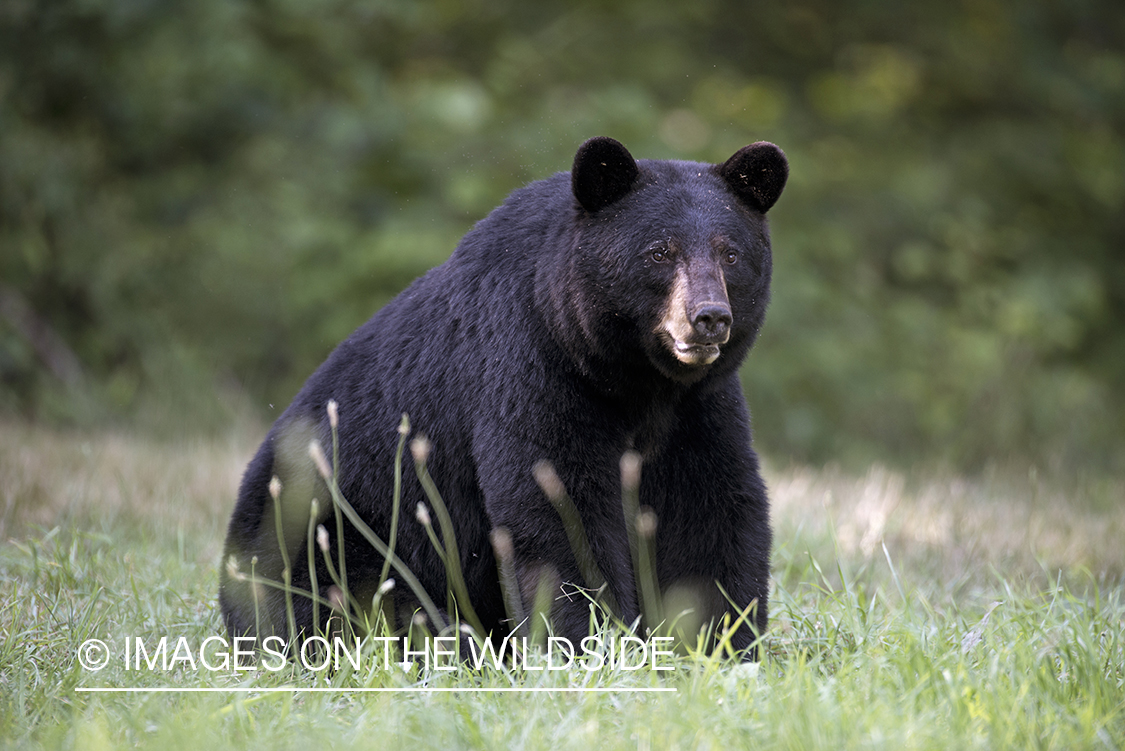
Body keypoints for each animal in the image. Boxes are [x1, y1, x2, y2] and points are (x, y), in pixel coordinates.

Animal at [219, 136, 787, 657]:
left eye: (730, 253)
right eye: (659, 252)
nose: (709, 317)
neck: (634, 381)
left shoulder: (698, 407)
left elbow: (711, 511)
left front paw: (724, 645)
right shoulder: (528, 366)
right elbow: (558, 506)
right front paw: (592, 645)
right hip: (331, 522)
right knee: (327, 594)